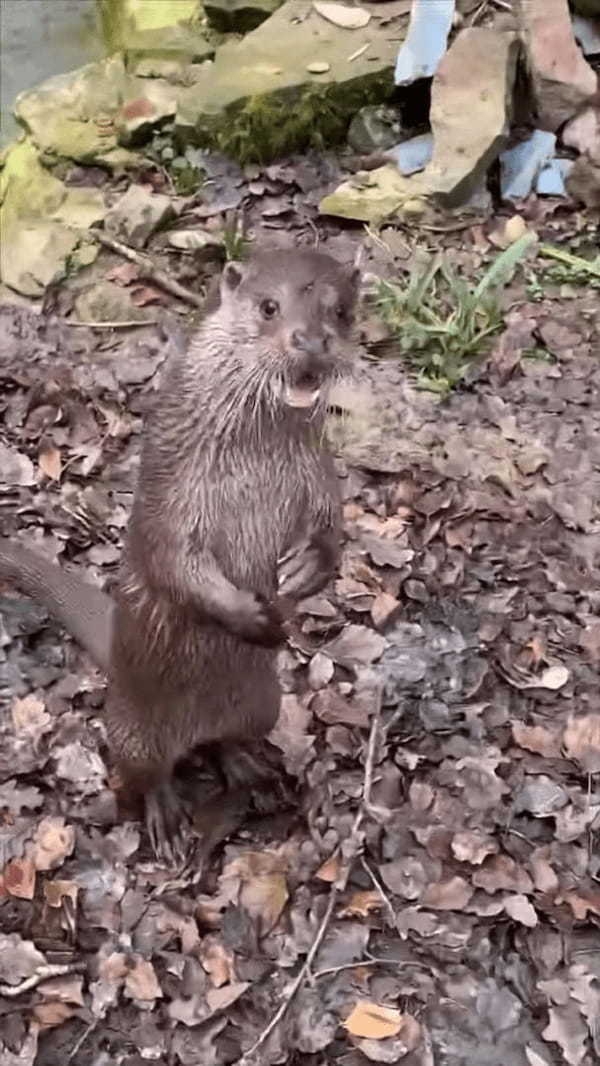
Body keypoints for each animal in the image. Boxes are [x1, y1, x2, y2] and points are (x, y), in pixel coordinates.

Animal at [0, 251, 360, 865]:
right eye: (269, 307)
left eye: (340, 311)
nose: (312, 341)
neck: (252, 463)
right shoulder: (173, 492)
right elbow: (174, 561)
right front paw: (250, 616)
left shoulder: (319, 475)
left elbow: (333, 529)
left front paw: (309, 568)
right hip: (133, 730)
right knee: (148, 773)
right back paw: (165, 820)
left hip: (262, 703)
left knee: (222, 741)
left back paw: (247, 767)